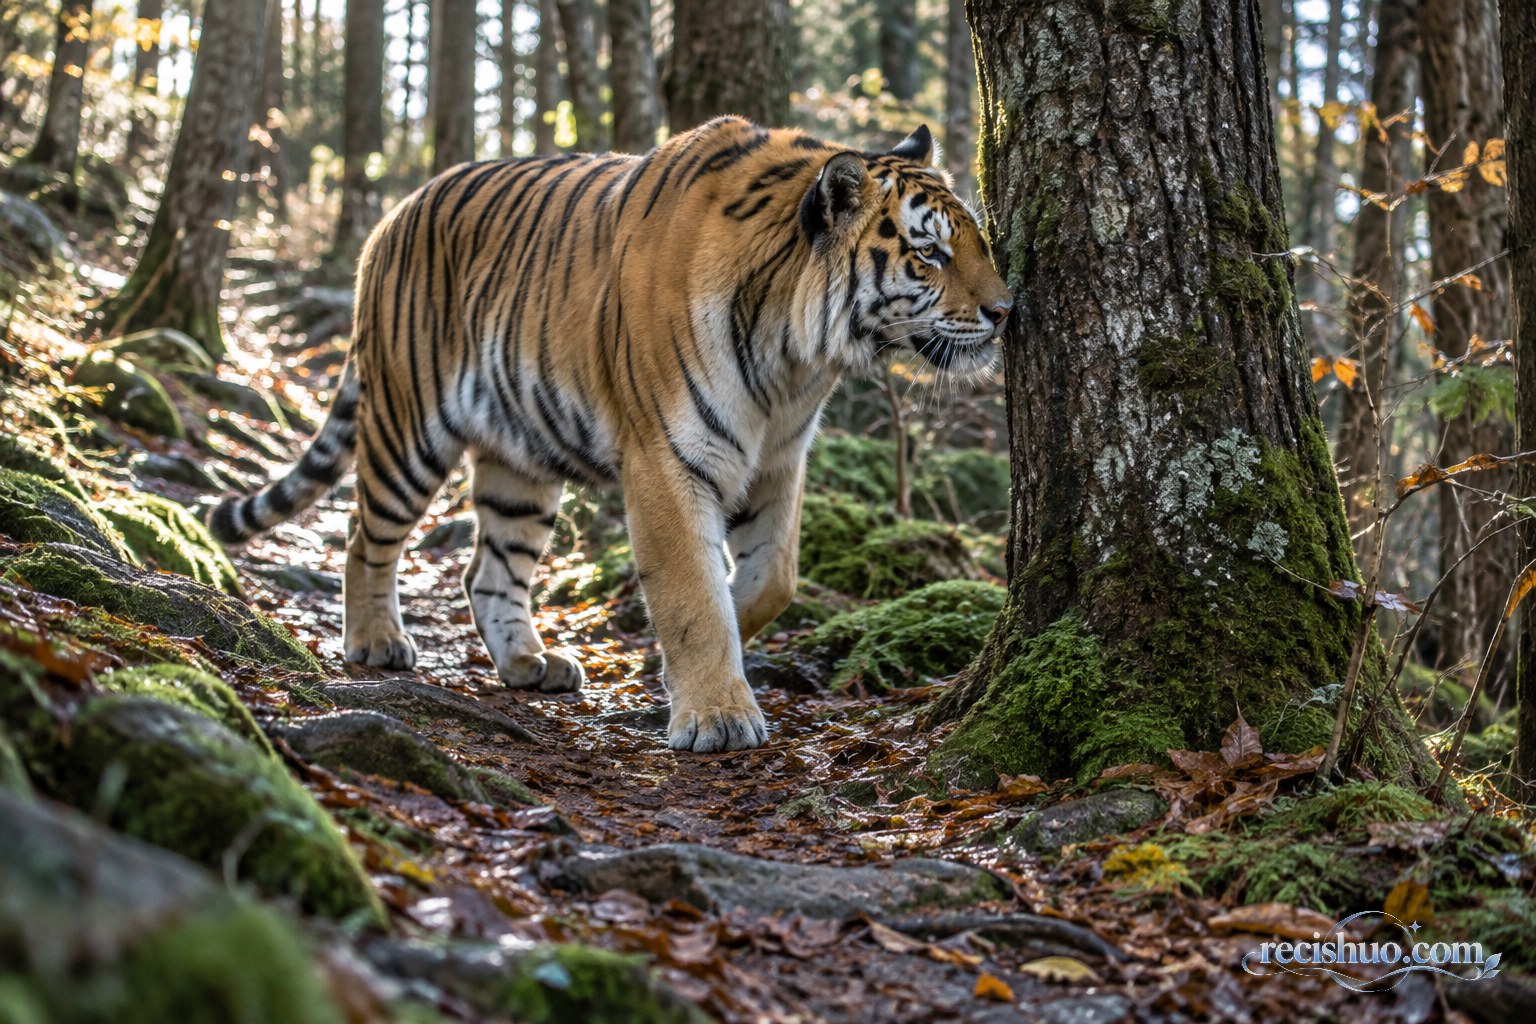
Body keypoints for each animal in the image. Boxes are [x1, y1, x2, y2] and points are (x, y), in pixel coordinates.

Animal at [209, 116, 1012, 753]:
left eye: (979, 242)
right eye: (931, 253)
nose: (1007, 310)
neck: (795, 358)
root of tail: (391, 218)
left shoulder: (778, 460)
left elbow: (770, 579)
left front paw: (681, 665)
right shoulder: (667, 458)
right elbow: (692, 596)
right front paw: (717, 716)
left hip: (520, 462)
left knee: (489, 568)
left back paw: (529, 663)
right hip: (408, 426)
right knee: (364, 534)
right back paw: (376, 642)